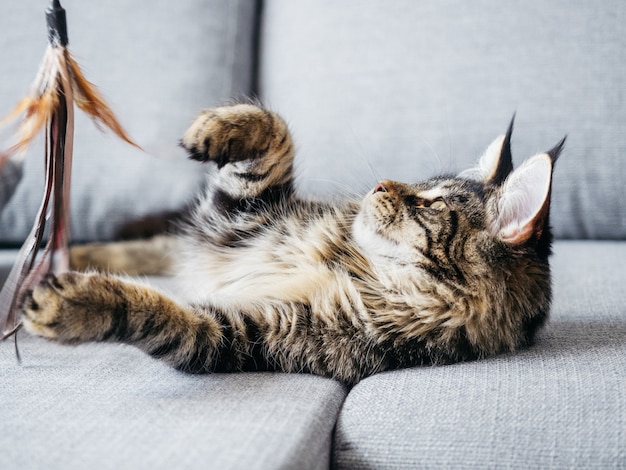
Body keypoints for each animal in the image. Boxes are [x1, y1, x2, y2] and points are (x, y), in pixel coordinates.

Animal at [22, 104, 564, 384]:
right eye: (420, 182)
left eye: (429, 203)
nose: (379, 186)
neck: (353, 265)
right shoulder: (235, 220)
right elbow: (275, 128)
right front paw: (215, 125)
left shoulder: (238, 335)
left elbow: (154, 310)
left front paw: (72, 302)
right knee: (149, 247)